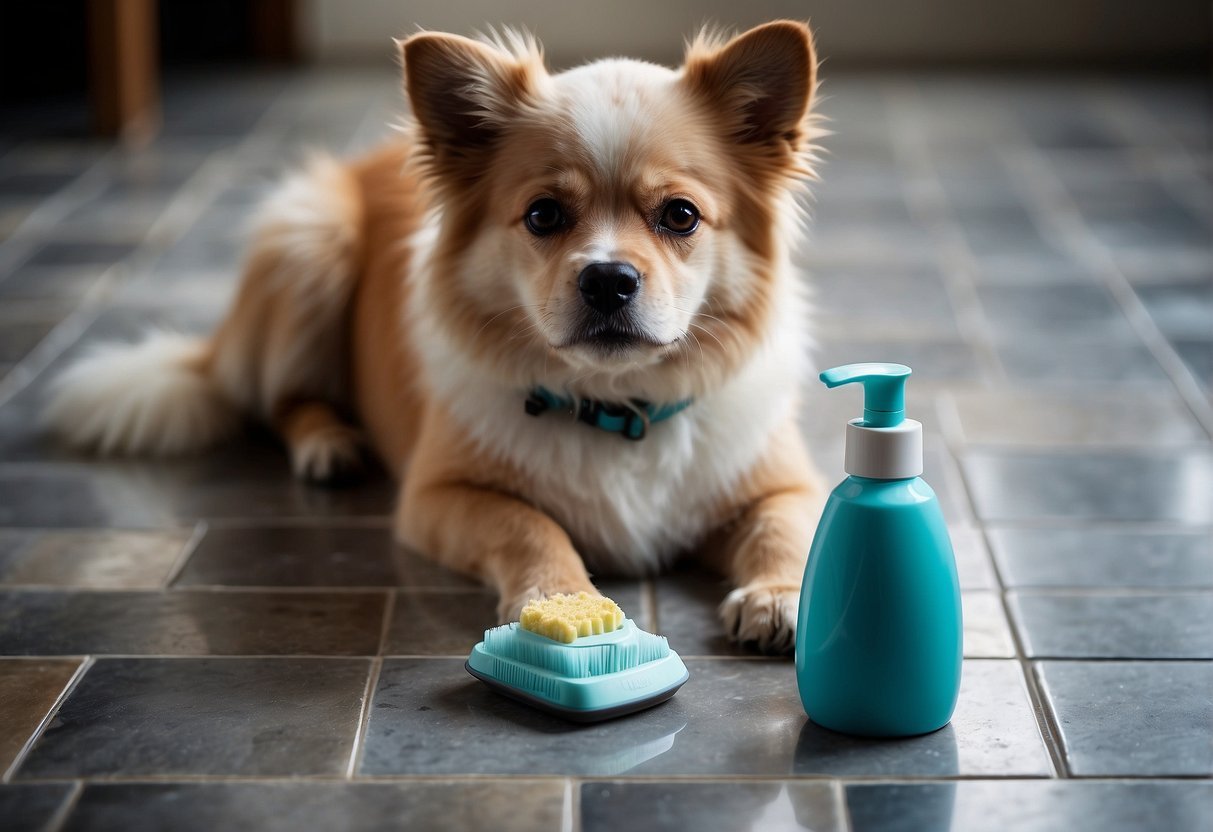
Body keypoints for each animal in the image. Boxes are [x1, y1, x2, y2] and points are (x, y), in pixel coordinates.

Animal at [44, 19, 824, 654]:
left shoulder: (786, 482)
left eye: (680, 216)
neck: (613, 402)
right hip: (308, 240)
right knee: (280, 402)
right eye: (543, 215)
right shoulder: (439, 496)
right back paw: (328, 445)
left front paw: (781, 598)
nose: (607, 279)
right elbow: (530, 525)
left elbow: (786, 526)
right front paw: (558, 599)